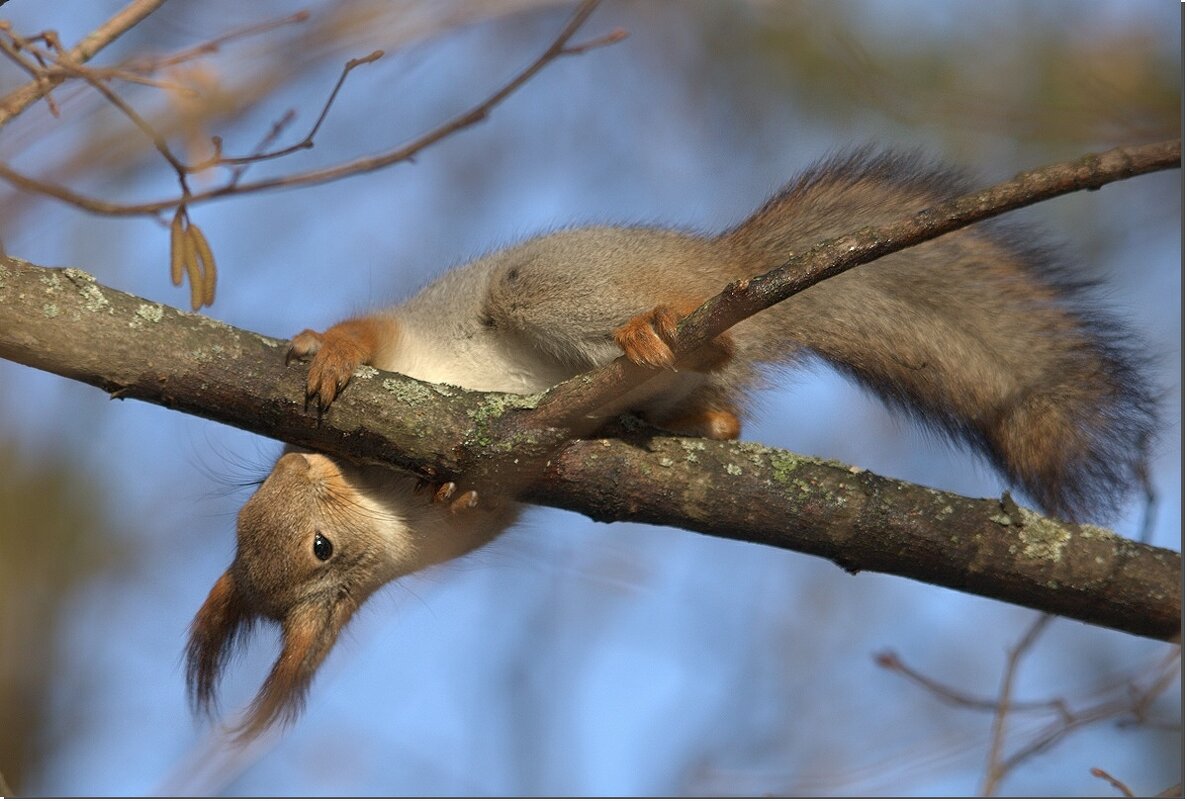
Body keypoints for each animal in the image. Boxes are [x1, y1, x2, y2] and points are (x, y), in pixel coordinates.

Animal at [185, 148, 1149, 740]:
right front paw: (454, 486)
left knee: (653, 328)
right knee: (725, 416)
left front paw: (328, 350)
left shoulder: (405, 342)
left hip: (550, 280)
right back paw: (663, 413)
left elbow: (367, 334)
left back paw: (659, 334)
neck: (387, 505)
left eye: (315, 541)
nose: (307, 464)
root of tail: (727, 267)